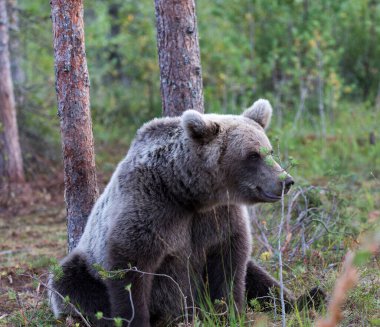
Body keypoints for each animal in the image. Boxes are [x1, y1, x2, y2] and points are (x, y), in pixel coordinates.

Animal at [48, 100, 324, 327]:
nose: (285, 181)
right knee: (70, 283)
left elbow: (232, 263)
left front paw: (230, 313)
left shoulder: (219, 217)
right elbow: (130, 268)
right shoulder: (151, 210)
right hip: (85, 267)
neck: (188, 194)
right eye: (253, 155)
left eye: (270, 151)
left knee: (257, 274)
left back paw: (309, 297)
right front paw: (136, 320)